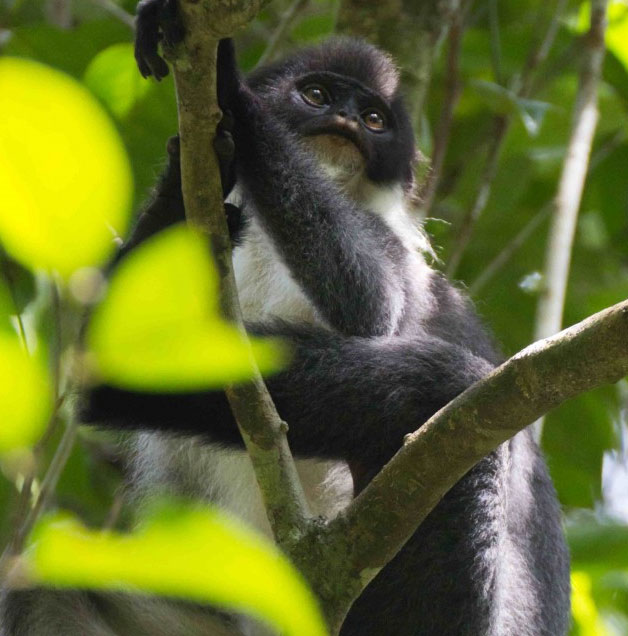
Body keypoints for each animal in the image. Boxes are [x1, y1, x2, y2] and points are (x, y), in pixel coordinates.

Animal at [0, 3, 568, 632]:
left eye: (373, 119)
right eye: (317, 95)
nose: (346, 120)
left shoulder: (395, 251)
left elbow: (376, 304)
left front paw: (227, 85)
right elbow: (113, 355)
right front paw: (190, 176)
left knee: (448, 385)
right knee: (39, 586)